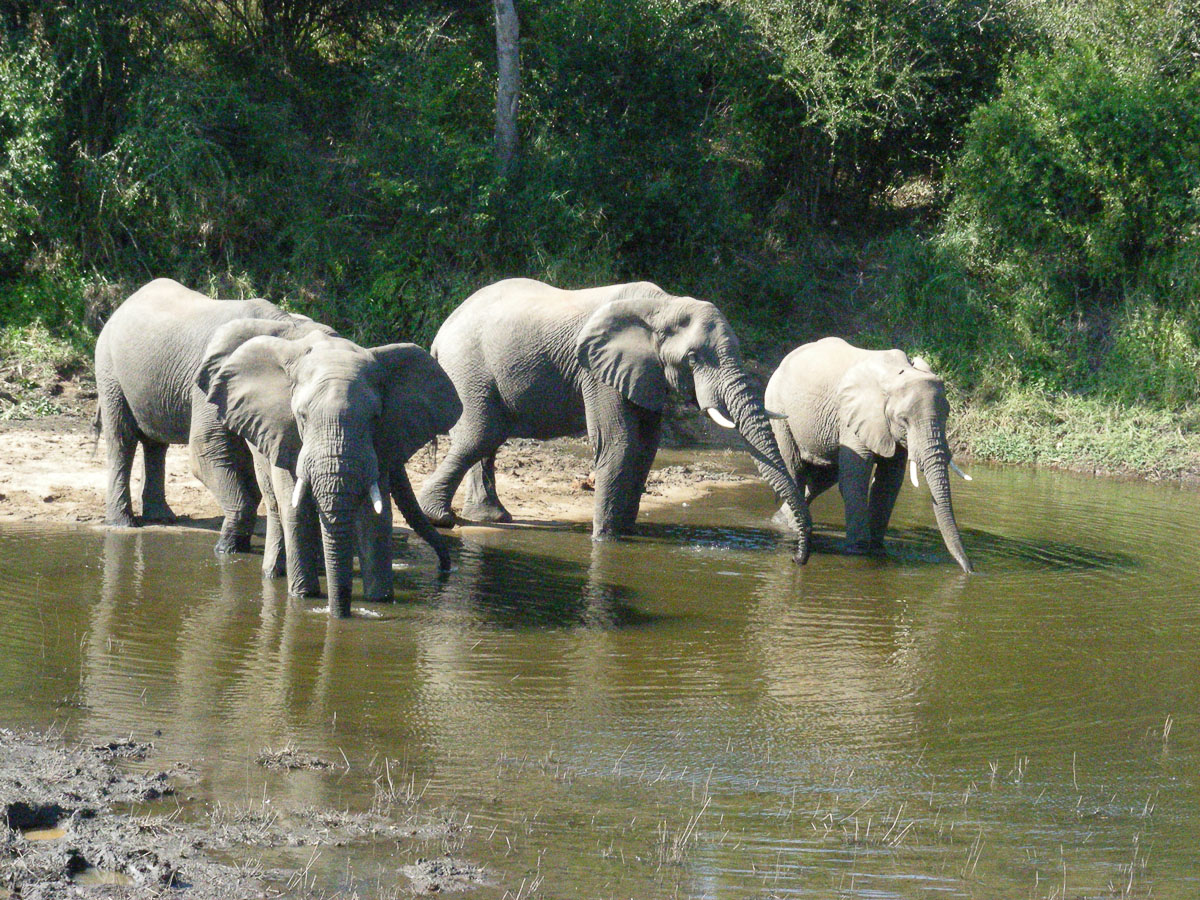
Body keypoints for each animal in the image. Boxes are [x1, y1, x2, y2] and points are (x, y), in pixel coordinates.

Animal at [94, 278, 331, 552]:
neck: (283, 324)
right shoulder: (212, 383)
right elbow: (206, 450)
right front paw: (227, 550)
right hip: (108, 368)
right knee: (122, 438)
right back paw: (122, 524)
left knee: (156, 445)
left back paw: (162, 518)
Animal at [197, 327, 462, 616]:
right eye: (301, 416)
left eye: (375, 418)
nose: (445, 569)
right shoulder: (284, 433)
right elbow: (296, 509)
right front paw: (304, 598)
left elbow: (375, 518)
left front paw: (378, 601)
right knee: (278, 507)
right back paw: (275, 574)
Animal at [416, 278, 812, 563]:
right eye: (693, 358)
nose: (797, 560)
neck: (662, 306)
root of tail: (441, 332)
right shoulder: (596, 372)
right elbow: (620, 444)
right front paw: (606, 542)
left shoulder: (645, 373)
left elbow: (646, 449)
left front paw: (625, 534)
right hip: (468, 368)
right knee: (480, 433)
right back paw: (441, 518)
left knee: (489, 437)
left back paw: (490, 519)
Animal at [764, 336, 973, 572]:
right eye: (903, 419)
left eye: (947, 414)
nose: (969, 569)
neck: (896, 375)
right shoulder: (851, 416)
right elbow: (856, 480)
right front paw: (859, 550)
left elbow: (888, 483)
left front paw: (877, 548)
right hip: (778, 409)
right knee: (795, 469)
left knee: (823, 478)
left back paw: (785, 521)